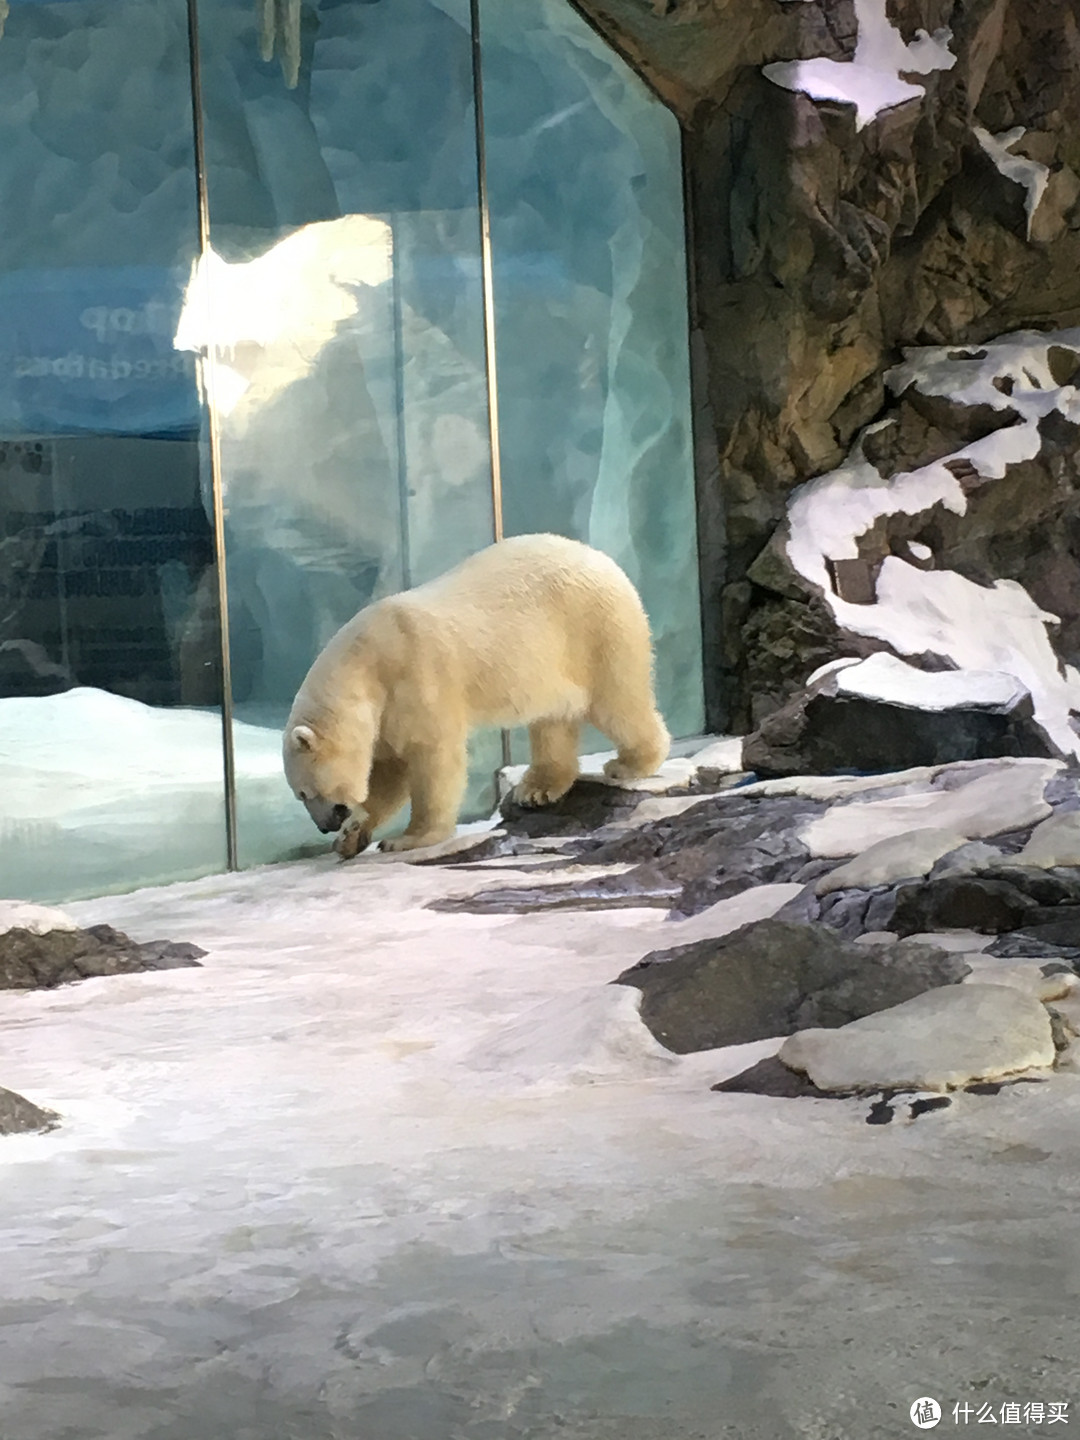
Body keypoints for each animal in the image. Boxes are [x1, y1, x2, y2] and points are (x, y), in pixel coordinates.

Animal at [280, 538, 668, 852]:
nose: (324, 825)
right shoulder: (386, 709)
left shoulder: (416, 672)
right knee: (553, 720)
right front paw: (352, 835)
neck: (366, 658)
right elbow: (390, 772)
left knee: (616, 701)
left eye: (304, 792)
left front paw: (409, 838)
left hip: (595, 628)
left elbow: (432, 758)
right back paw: (537, 789)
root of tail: (604, 559)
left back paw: (630, 763)